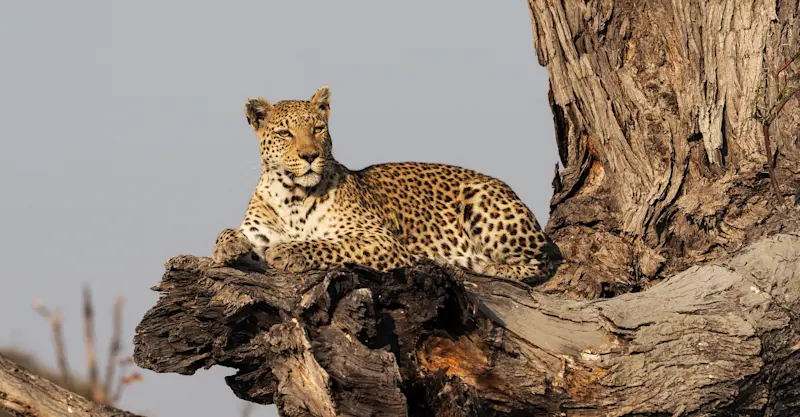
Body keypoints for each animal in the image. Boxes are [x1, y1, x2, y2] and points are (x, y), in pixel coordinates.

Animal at [211, 86, 559, 282]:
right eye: (285, 133)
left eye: (318, 128)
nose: (310, 155)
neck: (292, 195)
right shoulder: (259, 231)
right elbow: (227, 232)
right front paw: (228, 246)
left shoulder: (381, 242)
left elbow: (331, 245)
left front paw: (289, 252)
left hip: (482, 200)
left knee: (540, 264)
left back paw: (492, 268)